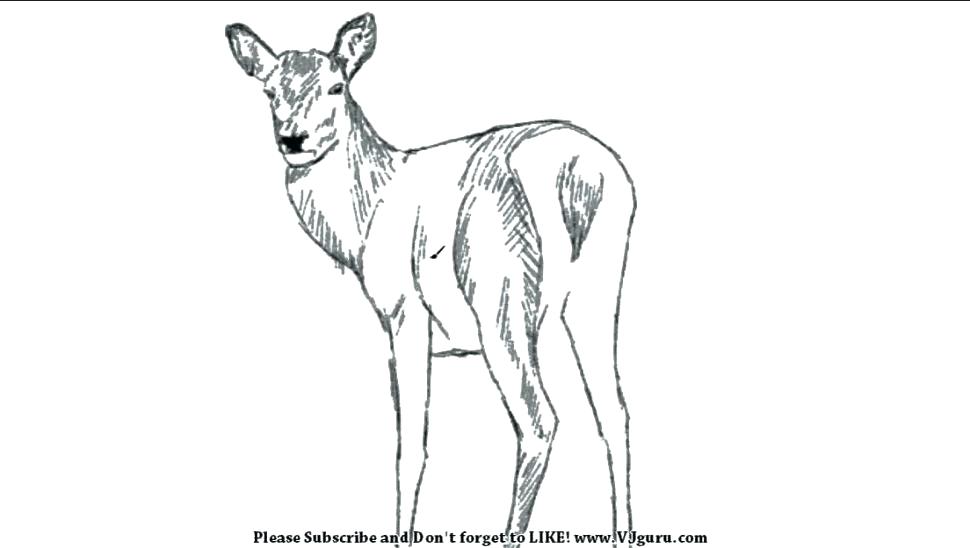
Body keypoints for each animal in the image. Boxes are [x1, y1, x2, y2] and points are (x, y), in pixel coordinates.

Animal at [226, 13, 637, 545]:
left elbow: (410, 449)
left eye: (338, 86)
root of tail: (579, 173)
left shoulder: (404, 310)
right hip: (594, 290)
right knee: (614, 411)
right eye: (270, 90)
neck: (364, 218)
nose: (294, 140)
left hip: (499, 292)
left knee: (540, 417)